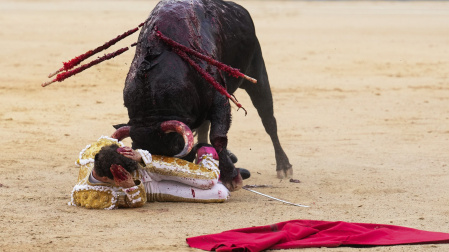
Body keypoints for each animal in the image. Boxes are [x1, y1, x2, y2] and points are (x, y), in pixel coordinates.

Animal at [114, 0, 290, 190]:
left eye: (175, 148)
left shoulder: (220, 99)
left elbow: (218, 137)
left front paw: (232, 178)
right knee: (205, 126)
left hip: (257, 73)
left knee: (268, 120)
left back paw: (284, 166)